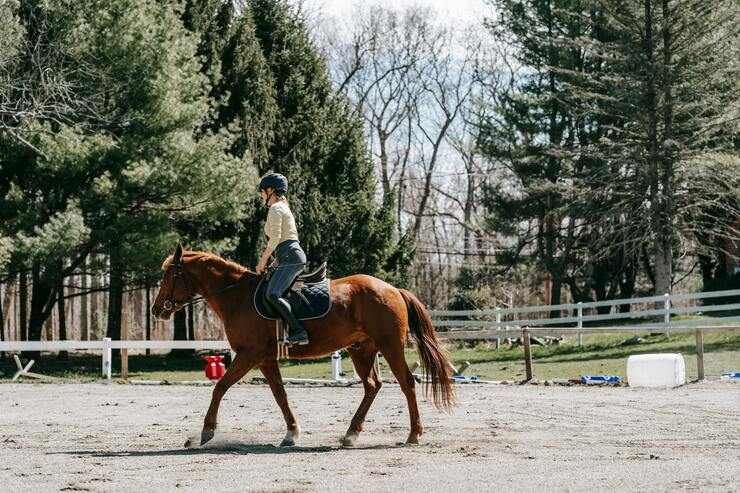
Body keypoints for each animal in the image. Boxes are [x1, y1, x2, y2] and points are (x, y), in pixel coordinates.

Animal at [151, 242, 454, 446]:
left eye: (169, 276)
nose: (156, 310)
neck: (237, 297)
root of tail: (392, 289)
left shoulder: (249, 355)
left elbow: (220, 387)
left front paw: (207, 431)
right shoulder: (265, 359)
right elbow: (280, 394)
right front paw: (291, 432)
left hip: (390, 346)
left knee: (406, 383)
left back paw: (413, 434)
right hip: (362, 349)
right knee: (372, 386)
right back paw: (351, 433)